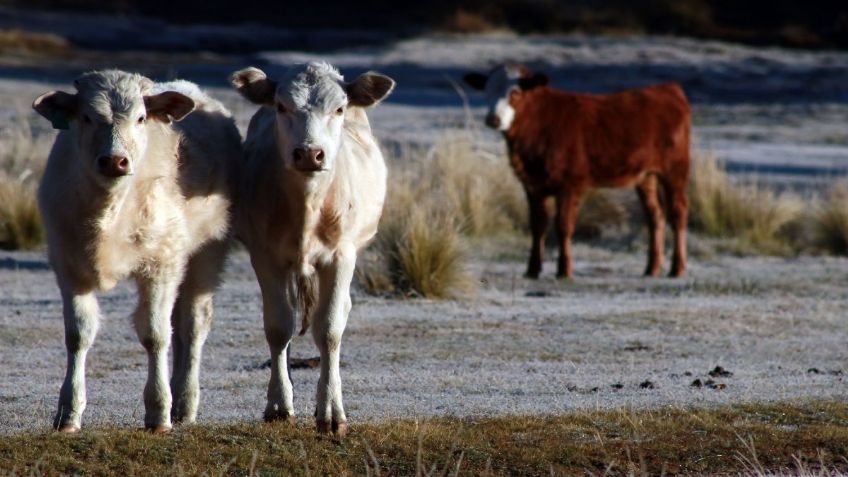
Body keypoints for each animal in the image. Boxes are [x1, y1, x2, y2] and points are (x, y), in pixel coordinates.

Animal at [33, 69, 238, 432]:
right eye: (86, 117)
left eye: (141, 118)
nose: (114, 160)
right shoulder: (68, 264)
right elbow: (78, 334)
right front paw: (68, 413)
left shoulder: (160, 265)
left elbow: (155, 335)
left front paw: (158, 413)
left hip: (207, 254)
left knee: (192, 325)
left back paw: (184, 403)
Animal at [229, 61, 394, 434]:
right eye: (281, 106)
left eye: (339, 108)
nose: (309, 153)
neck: (308, 205)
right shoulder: (265, 255)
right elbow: (278, 326)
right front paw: (279, 404)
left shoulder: (342, 256)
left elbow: (329, 329)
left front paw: (331, 412)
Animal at [464, 63, 688, 278]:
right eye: (486, 90)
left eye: (515, 92)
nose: (493, 119)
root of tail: (668, 88)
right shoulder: (533, 184)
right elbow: (538, 225)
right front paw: (532, 270)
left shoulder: (570, 183)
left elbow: (563, 225)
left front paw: (564, 270)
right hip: (645, 176)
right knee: (655, 216)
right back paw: (651, 268)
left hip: (675, 169)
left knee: (677, 213)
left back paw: (677, 268)